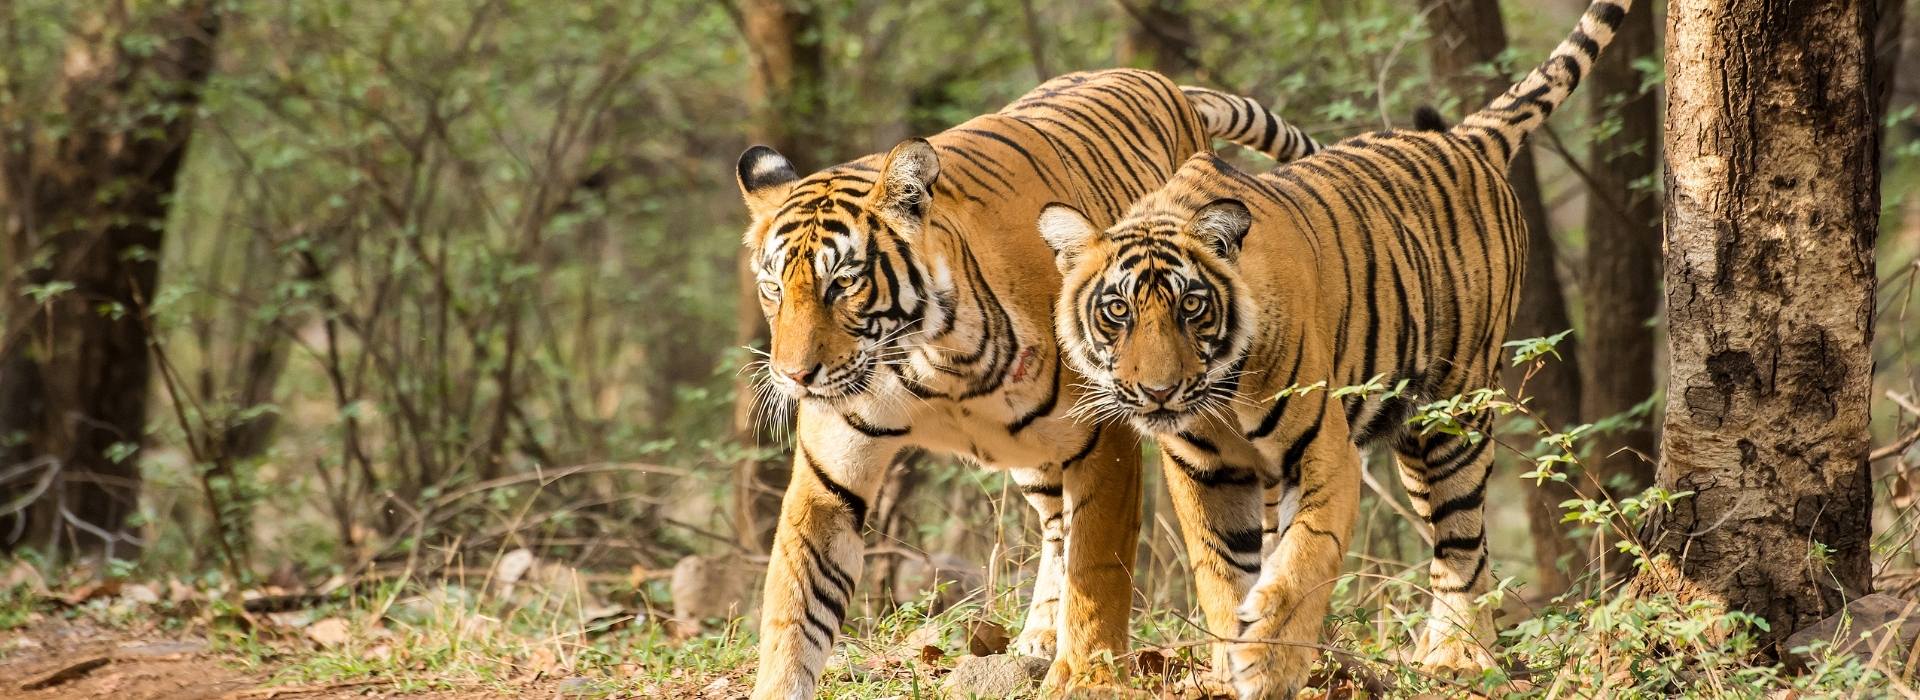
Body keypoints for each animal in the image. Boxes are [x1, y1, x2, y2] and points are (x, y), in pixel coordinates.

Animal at [732, 68, 1324, 700]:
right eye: (772, 287)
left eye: (843, 283)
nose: (795, 376)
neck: (931, 363)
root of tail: (1162, 80)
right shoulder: (828, 480)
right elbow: (797, 605)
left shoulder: (1103, 439)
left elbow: (1098, 566)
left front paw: (1090, 676)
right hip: (1033, 458)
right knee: (1056, 528)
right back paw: (1040, 637)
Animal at [1035, 2, 1632, 696]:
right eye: (1117, 311)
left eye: (1192, 307)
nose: (1158, 392)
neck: (1220, 397)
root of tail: (1463, 139)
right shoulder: (1202, 470)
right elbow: (1221, 571)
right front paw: (1227, 660)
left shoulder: (1324, 451)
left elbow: (1304, 558)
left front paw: (1268, 663)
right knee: (1464, 543)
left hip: (1450, 415)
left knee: (1460, 538)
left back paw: (1456, 655)